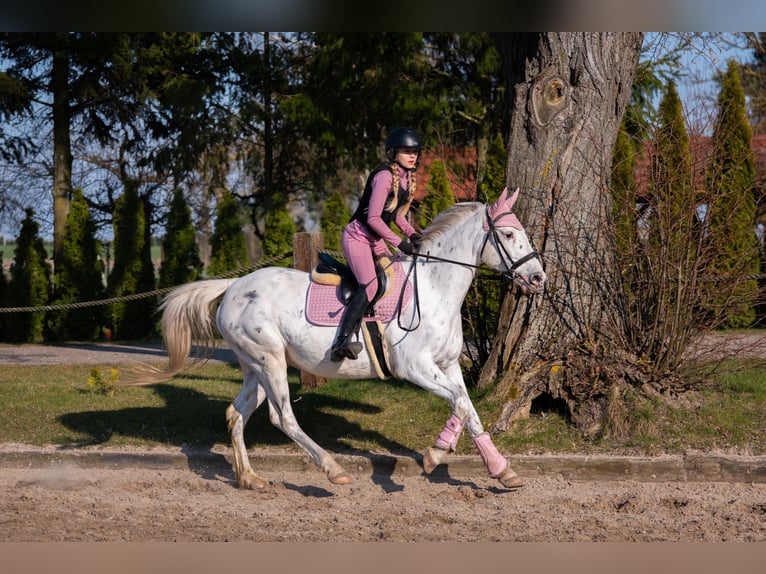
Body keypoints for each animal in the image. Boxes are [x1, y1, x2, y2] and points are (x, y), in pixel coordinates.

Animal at [134, 187, 546, 490]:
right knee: (283, 417)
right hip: (271, 361)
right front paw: (437, 454)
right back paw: (333, 470)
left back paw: (249, 478)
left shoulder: (447, 365)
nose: (539, 278)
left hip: (255, 366)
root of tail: (233, 286)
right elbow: (459, 404)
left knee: (236, 413)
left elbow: (468, 409)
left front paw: (499, 469)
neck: (433, 287)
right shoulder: (414, 367)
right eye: (509, 234)